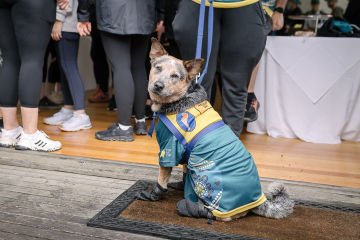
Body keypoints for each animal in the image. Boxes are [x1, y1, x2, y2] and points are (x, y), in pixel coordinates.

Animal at [136, 39, 294, 221]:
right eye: (158, 68)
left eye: (175, 76)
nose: (158, 85)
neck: (179, 101)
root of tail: (259, 201)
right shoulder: (187, 153)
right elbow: (184, 171)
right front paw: (181, 184)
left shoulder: (169, 150)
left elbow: (161, 180)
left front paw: (152, 195)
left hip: (204, 175)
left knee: (220, 214)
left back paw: (191, 207)